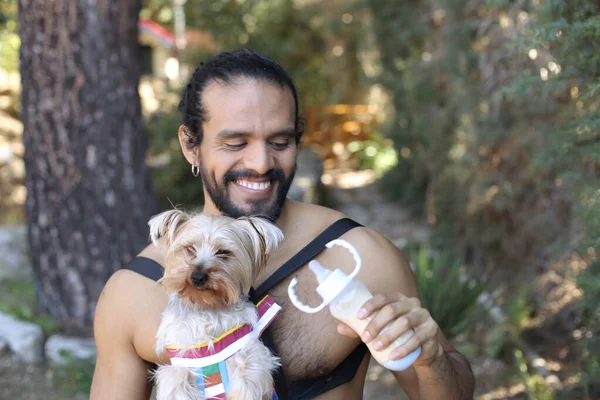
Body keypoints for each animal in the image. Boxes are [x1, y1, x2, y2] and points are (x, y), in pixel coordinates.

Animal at [148, 211, 284, 398]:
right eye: (190, 249)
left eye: (223, 252)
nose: (198, 277)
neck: (206, 306)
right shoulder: (183, 359)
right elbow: (176, 379)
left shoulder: (250, 352)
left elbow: (248, 373)